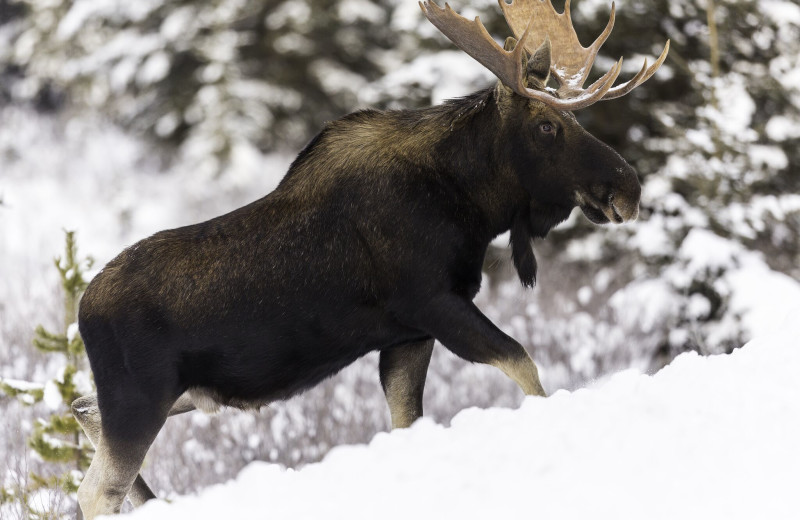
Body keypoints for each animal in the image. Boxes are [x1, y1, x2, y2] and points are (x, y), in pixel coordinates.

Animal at [73, 0, 668, 516]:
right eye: (547, 125)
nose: (629, 187)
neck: (471, 205)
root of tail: (82, 311)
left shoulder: (407, 335)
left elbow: (410, 421)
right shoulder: (434, 304)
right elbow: (525, 364)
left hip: (169, 395)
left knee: (82, 413)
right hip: (138, 398)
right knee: (95, 489)